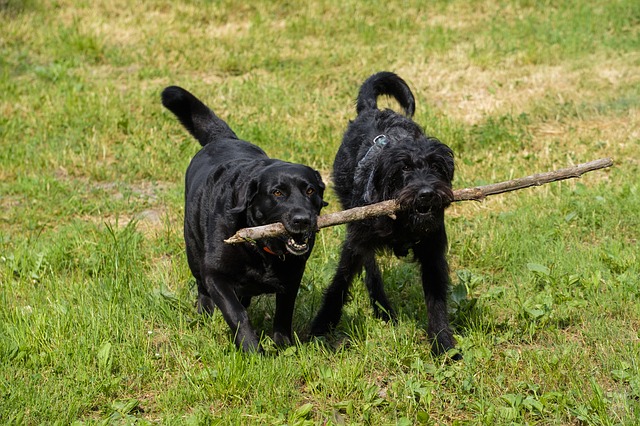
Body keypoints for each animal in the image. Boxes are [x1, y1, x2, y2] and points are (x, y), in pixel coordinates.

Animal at [162, 85, 328, 352]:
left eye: (310, 190)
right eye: (277, 193)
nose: (303, 219)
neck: (262, 249)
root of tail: (223, 138)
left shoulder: (293, 275)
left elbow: (284, 313)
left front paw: (283, 346)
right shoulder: (215, 275)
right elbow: (237, 314)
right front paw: (252, 350)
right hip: (193, 250)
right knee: (202, 288)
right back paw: (204, 314)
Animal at [310, 71, 460, 358]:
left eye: (436, 166)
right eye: (403, 169)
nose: (426, 193)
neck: (402, 223)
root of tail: (372, 109)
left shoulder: (432, 251)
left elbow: (437, 302)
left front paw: (443, 345)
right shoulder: (355, 240)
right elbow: (340, 282)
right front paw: (321, 325)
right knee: (370, 267)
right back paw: (382, 306)